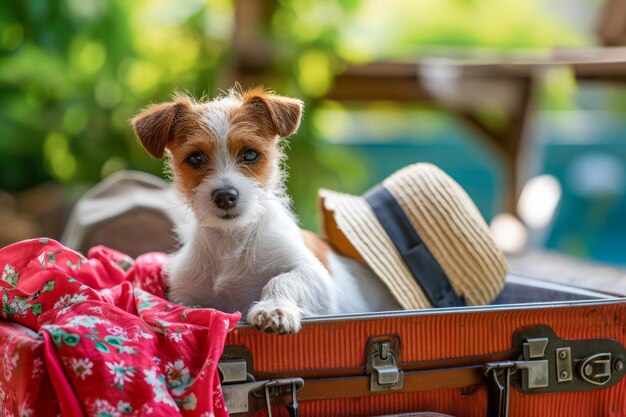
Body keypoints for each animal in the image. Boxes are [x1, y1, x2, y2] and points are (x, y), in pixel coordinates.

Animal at [130, 89, 400, 334]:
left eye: (250, 154)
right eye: (195, 158)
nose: (225, 196)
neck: (231, 241)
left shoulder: (315, 276)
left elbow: (281, 279)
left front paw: (273, 309)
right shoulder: (185, 293)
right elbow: (193, 308)